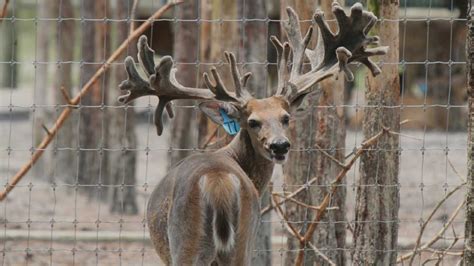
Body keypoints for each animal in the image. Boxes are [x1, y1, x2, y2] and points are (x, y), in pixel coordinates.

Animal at [117, 2, 386, 266]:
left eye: (285, 118)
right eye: (253, 122)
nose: (280, 145)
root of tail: (219, 183)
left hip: (190, 241)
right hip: (238, 240)